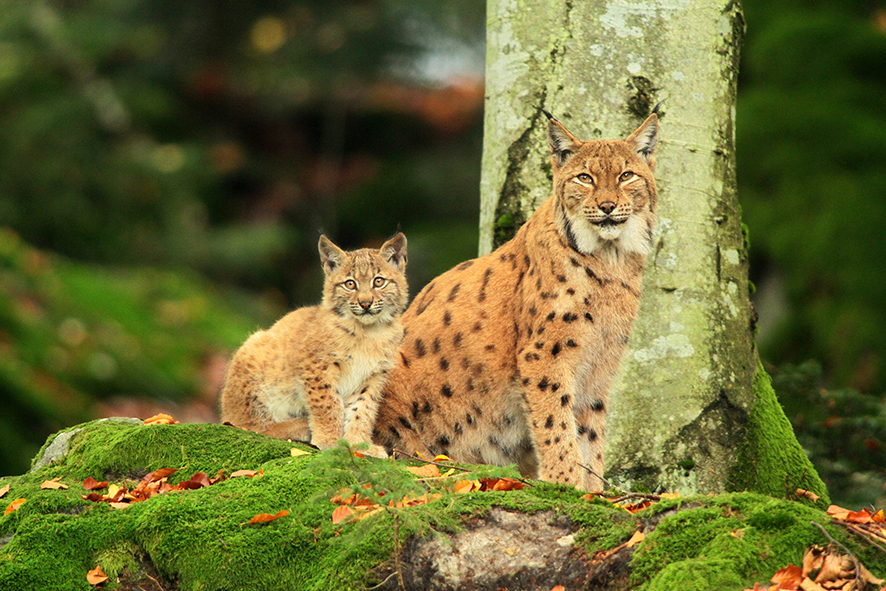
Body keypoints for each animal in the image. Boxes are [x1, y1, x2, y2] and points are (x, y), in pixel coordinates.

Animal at [225, 232, 412, 458]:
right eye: (350, 284)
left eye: (378, 282)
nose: (365, 303)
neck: (369, 331)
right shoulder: (317, 369)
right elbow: (328, 404)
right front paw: (329, 441)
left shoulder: (373, 376)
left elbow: (363, 410)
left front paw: (360, 444)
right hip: (253, 347)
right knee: (247, 425)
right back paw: (299, 426)